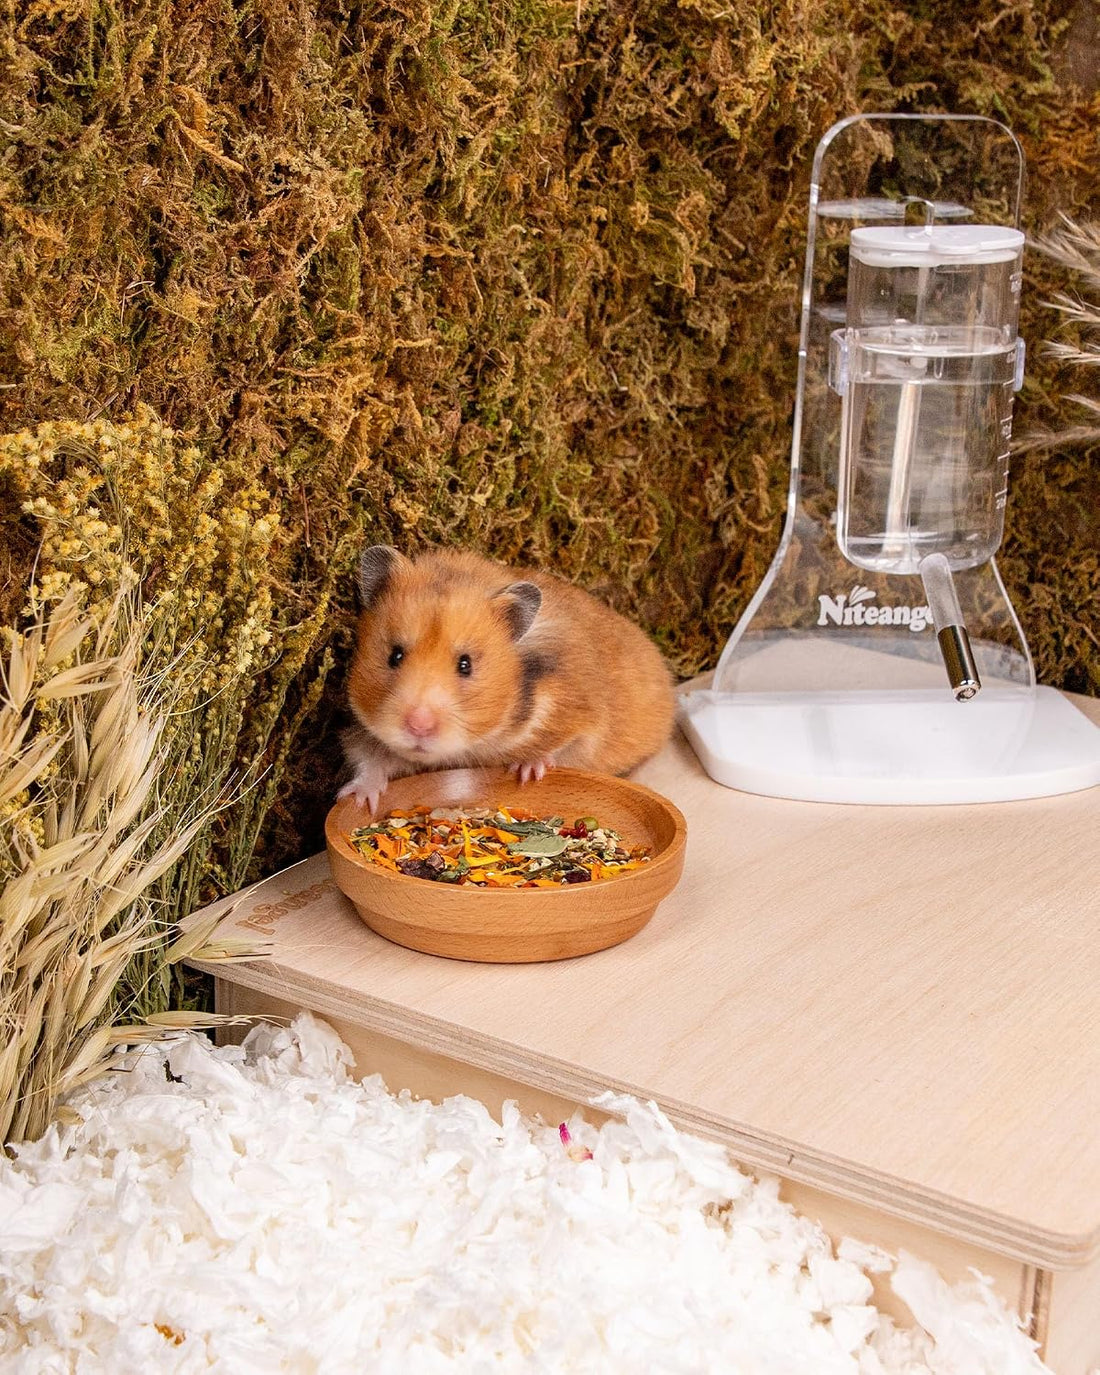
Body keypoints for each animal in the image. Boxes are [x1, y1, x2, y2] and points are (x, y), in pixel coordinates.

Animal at [339, 545, 676, 813]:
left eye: (466, 665)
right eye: (394, 656)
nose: (418, 726)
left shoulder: (583, 723)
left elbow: (561, 750)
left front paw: (528, 772)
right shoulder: (366, 731)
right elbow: (370, 759)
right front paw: (359, 801)